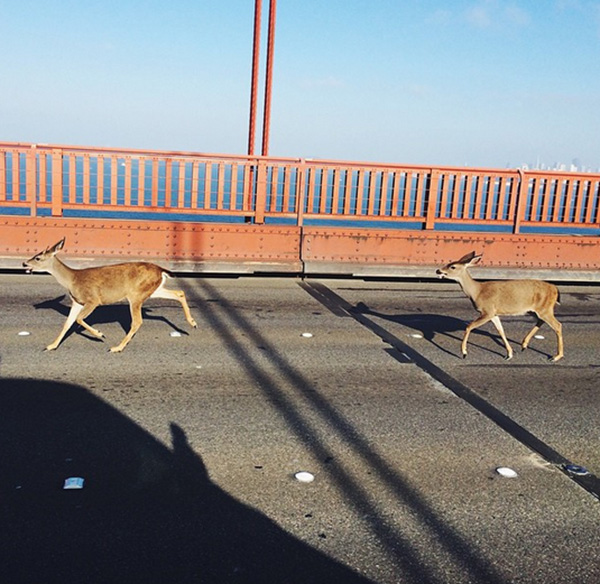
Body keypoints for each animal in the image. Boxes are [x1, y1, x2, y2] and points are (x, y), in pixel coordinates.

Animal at [22, 237, 197, 352]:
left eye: (38, 258)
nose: (24, 263)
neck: (72, 280)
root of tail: (161, 269)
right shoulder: (76, 302)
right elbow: (67, 323)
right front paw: (51, 345)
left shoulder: (93, 299)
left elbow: (79, 319)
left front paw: (100, 334)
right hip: (153, 290)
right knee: (179, 293)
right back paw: (192, 323)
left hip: (136, 294)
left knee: (137, 321)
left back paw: (117, 347)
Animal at [436, 251, 564, 360]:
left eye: (452, 266)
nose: (438, 271)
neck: (477, 292)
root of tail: (555, 289)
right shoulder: (494, 313)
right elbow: (501, 330)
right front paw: (509, 354)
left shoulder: (487, 311)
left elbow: (469, 326)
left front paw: (464, 353)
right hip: (536, 310)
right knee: (541, 321)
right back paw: (523, 345)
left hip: (545, 308)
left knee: (557, 325)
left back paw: (556, 356)